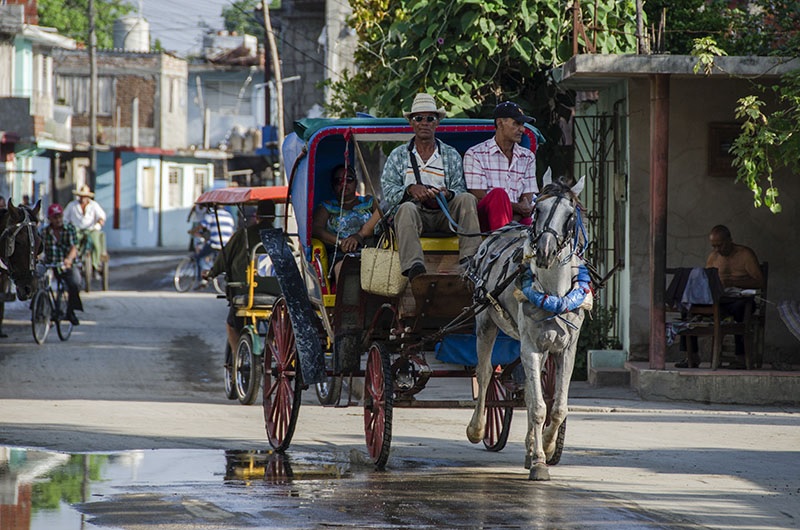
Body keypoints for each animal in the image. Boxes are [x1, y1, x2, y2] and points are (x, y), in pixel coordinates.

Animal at [466, 176, 592, 478]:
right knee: (485, 374)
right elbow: (537, 406)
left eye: (570, 215)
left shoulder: (566, 348)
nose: (545, 251)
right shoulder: (530, 346)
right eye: (538, 210)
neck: (554, 289)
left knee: (526, 390)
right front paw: (538, 461)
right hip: (485, 321)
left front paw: (545, 446)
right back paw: (477, 429)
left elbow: (556, 407)